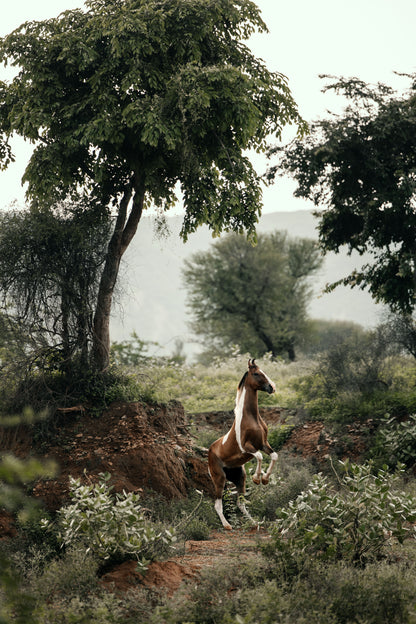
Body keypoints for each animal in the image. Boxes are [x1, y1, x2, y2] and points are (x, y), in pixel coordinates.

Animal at [208, 358, 280, 528]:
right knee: (217, 504)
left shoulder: (263, 444)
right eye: (256, 373)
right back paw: (227, 525)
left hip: (239, 478)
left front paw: (265, 480)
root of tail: (209, 451)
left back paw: (255, 523)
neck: (251, 418)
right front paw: (257, 478)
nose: (272, 387)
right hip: (219, 479)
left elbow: (274, 456)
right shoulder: (247, 448)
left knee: (240, 503)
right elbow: (260, 457)